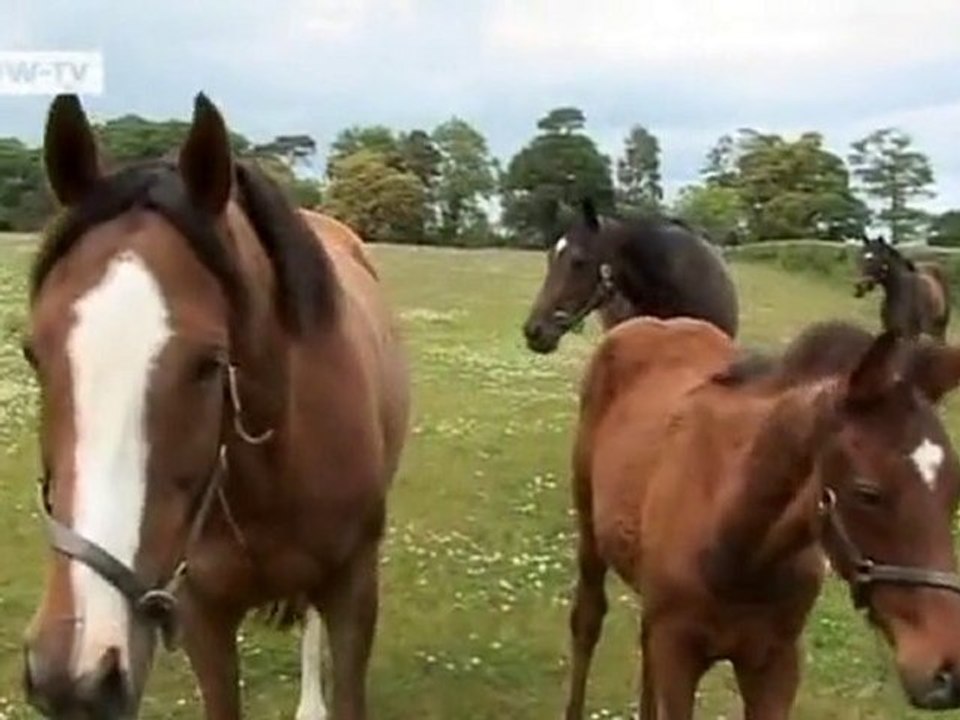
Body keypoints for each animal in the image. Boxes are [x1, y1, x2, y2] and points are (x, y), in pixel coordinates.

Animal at [564, 316, 960, 719]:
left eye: (953, 493)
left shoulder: (776, 662)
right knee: (588, 619)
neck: (739, 547)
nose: (948, 673)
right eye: (867, 493)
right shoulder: (677, 653)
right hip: (589, 529)